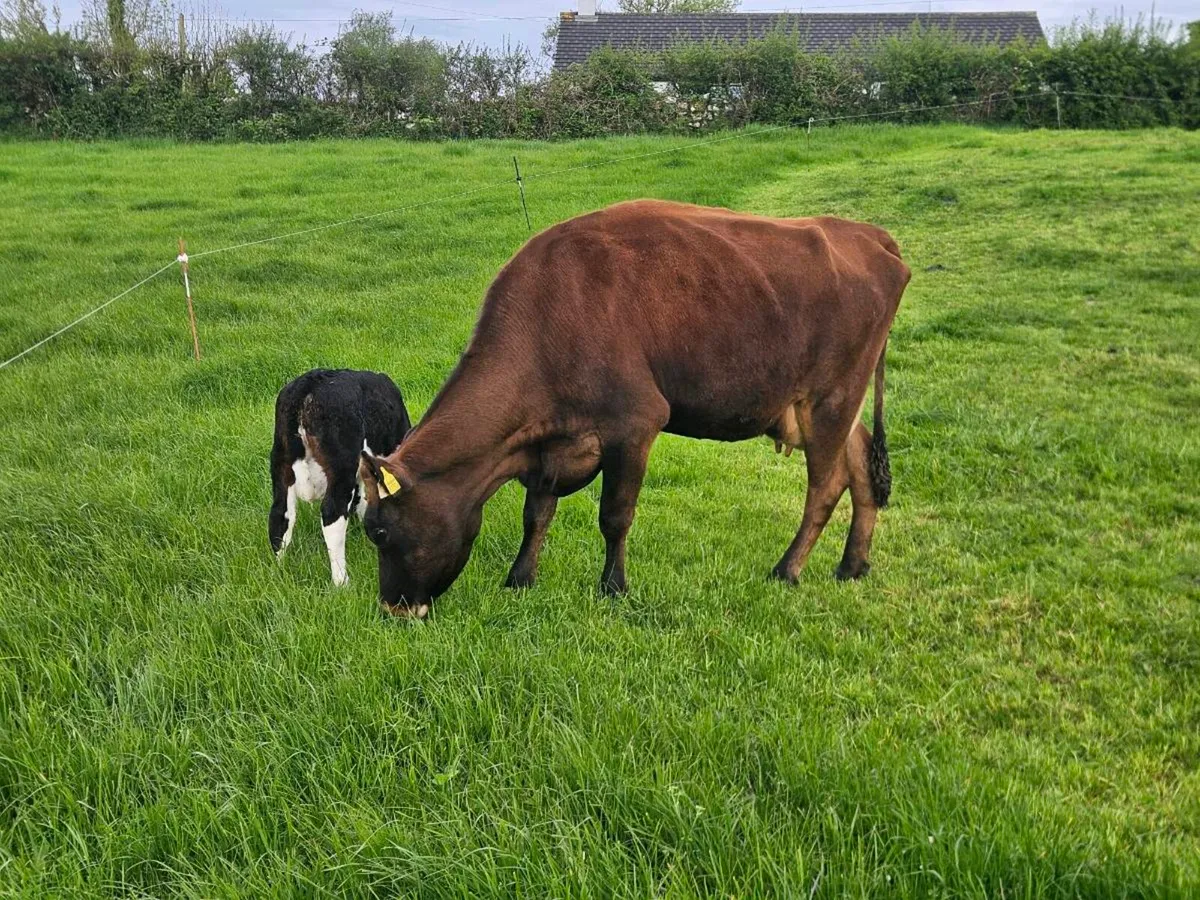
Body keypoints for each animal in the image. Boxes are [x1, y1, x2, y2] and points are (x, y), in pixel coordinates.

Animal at [270, 369, 411, 586]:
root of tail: (306, 386)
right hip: (341, 465)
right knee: (332, 513)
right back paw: (341, 582)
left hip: (280, 462)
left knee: (280, 513)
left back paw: (280, 570)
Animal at [359, 200, 911, 619]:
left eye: (379, 530)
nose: (393, 610)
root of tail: (868, 234)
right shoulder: (549, 443)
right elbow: (536, 515)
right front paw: (519, 579)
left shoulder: (635, 424)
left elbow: (615, 515)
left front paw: (613, 587)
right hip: (831, 405)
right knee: (861, 467)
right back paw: (852, 566)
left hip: (832, 397)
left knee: (826, 486)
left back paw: (788, 569)